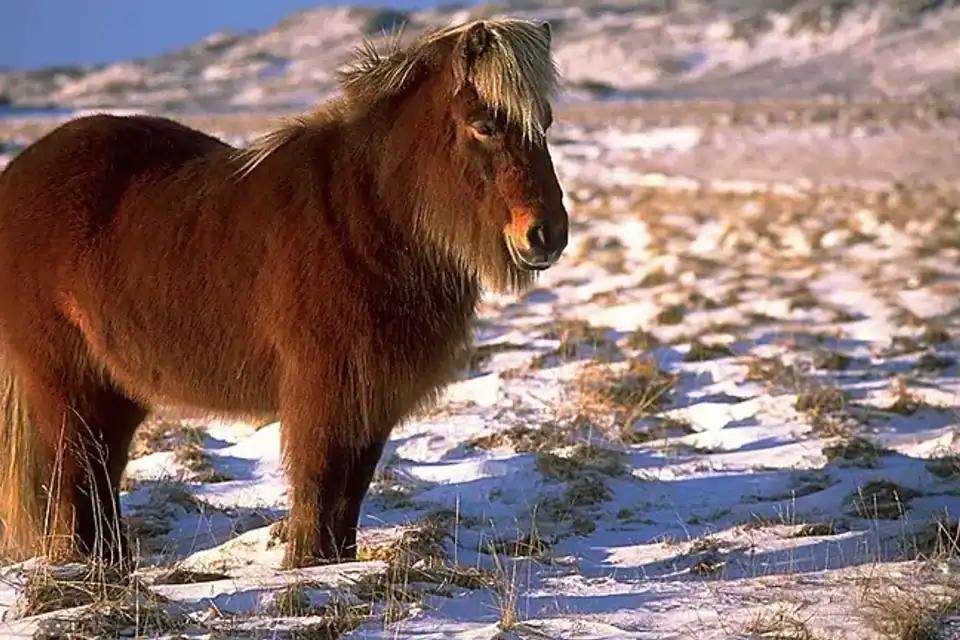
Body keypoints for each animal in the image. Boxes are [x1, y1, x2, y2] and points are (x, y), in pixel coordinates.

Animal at [0, 17, 568, 571]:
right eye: (484, 124)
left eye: (545, 122)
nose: (547, 235)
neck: (369, 216)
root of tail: (19, 172)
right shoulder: (324, 393)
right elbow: (319, 483)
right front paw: (307, 565)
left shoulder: (373, 398)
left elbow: (350, 493)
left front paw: (337, 564)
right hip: (64, 381)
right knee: (76, 472)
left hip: (115, 386)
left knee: (102, 468)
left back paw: (113, 563)